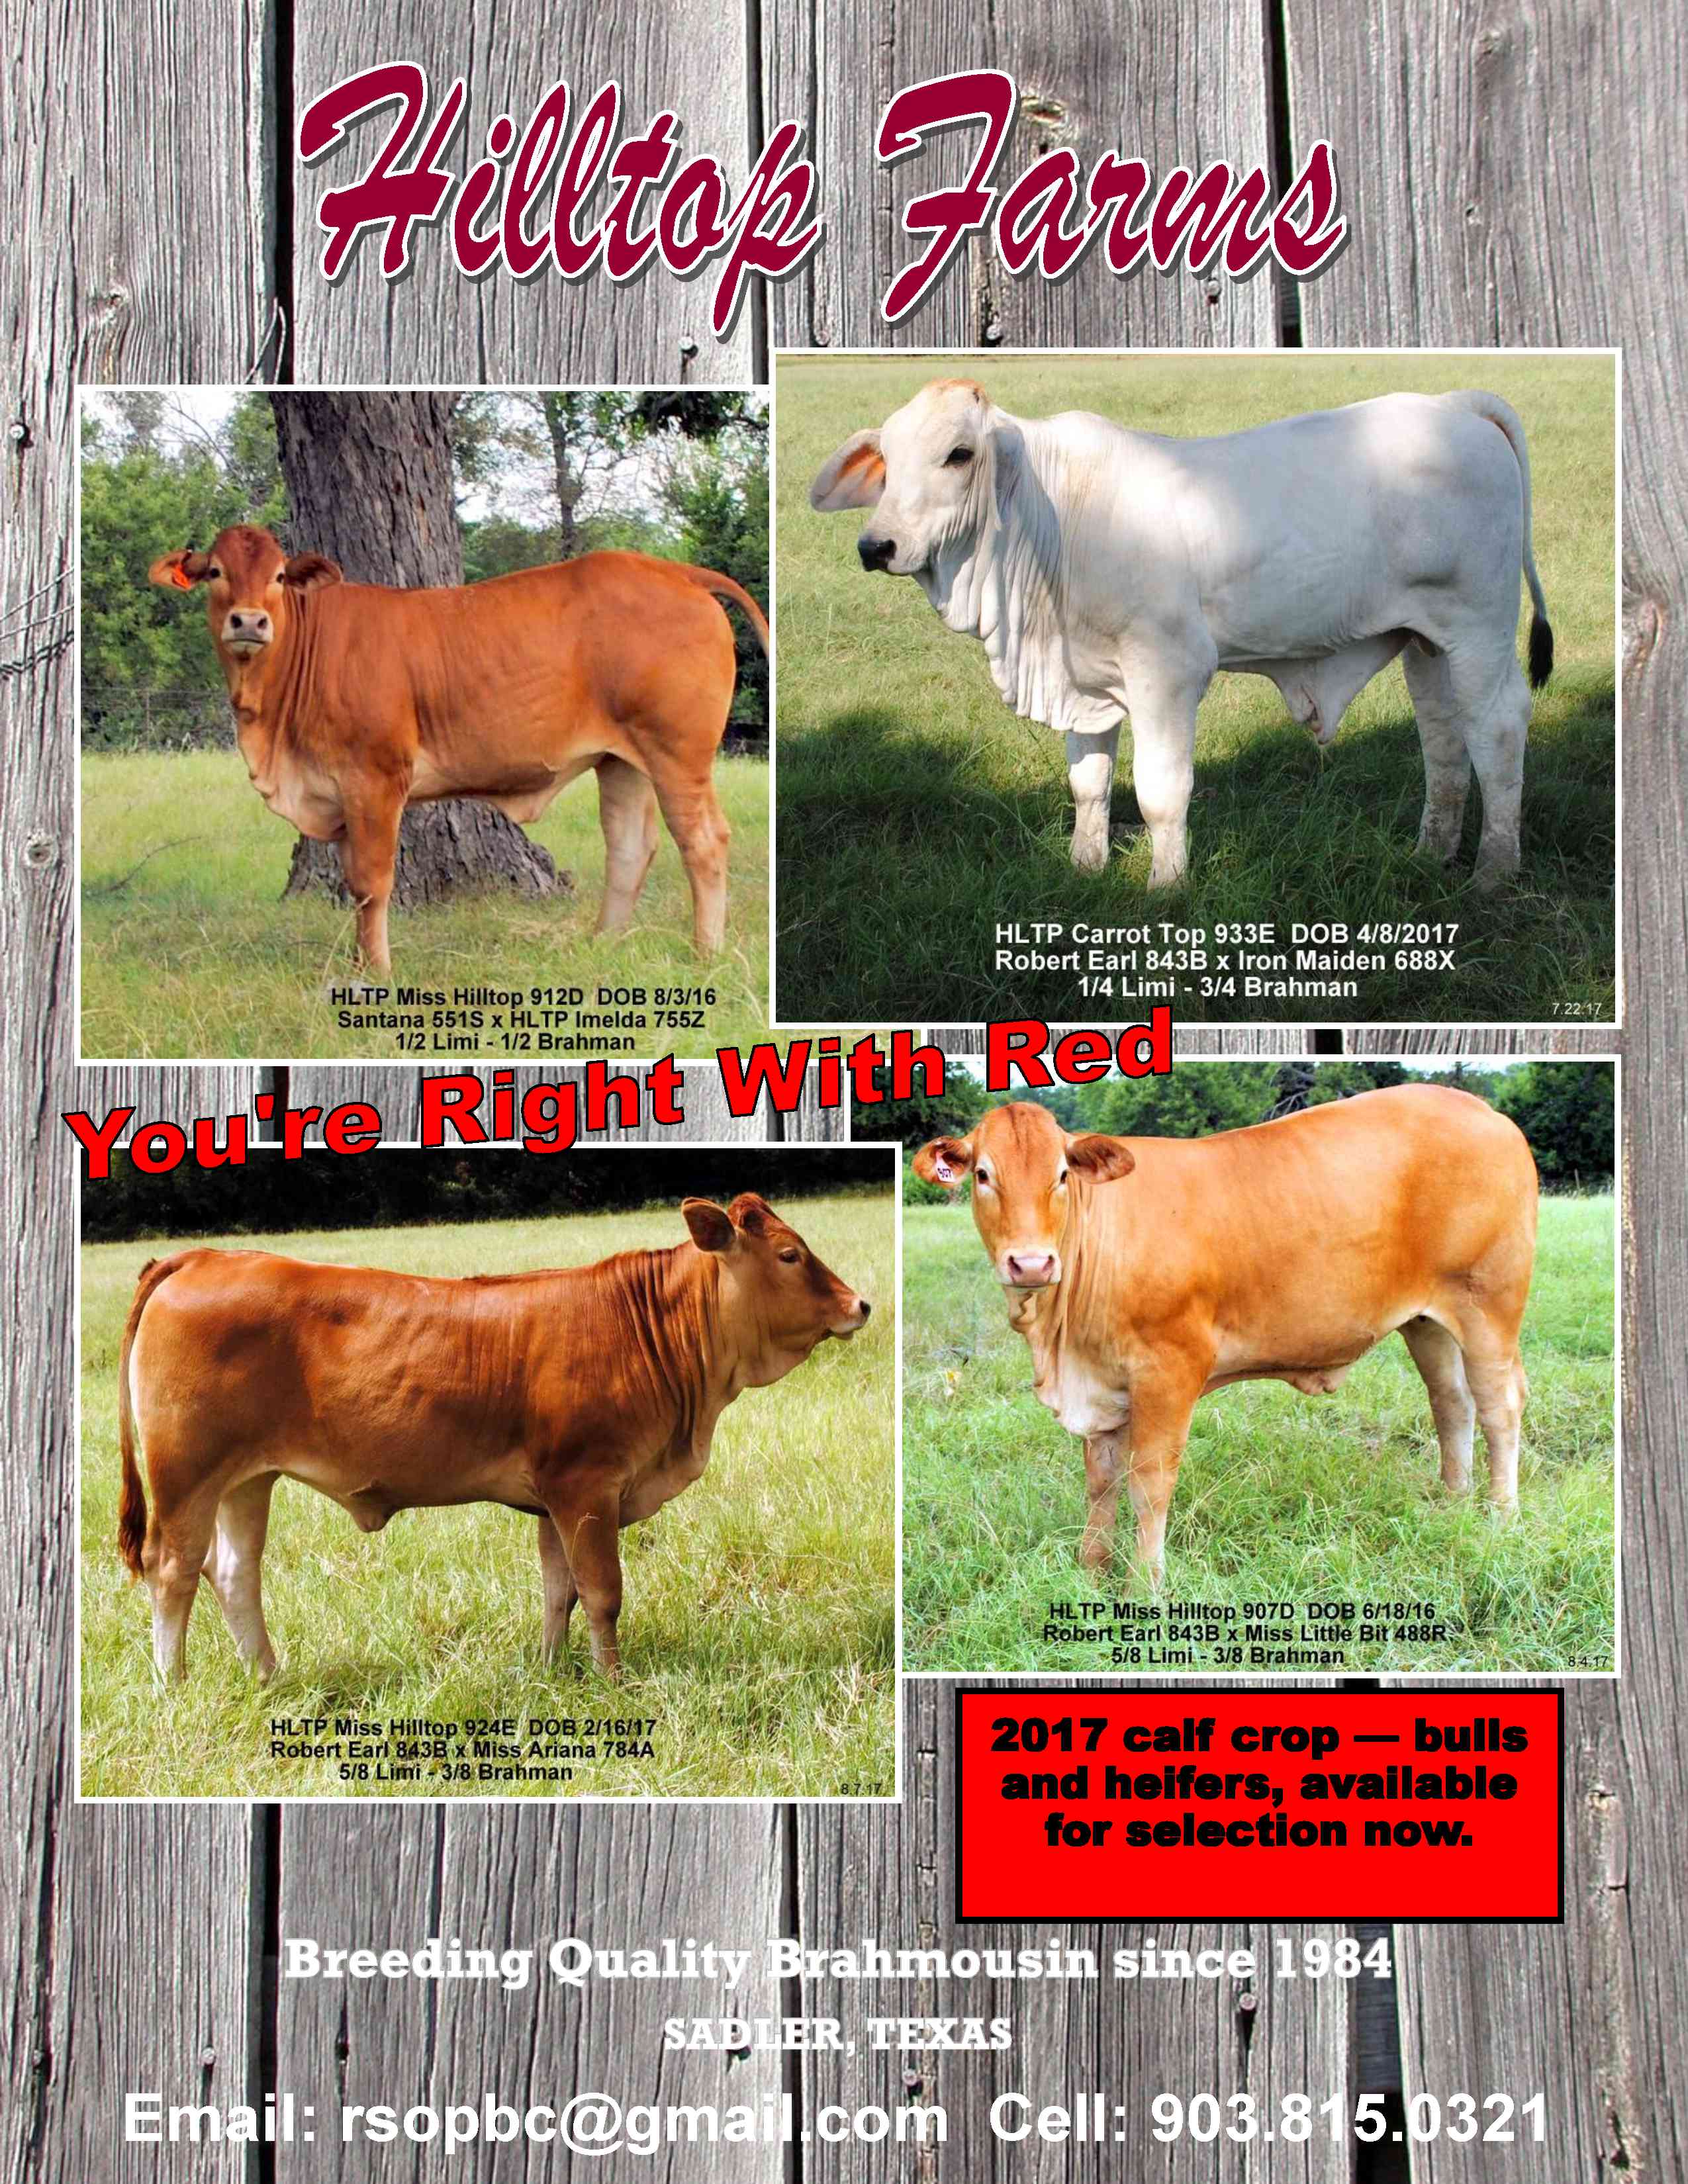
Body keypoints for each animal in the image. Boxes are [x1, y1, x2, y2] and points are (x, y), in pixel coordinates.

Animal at [114, 1195, 870, 1685]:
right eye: (790, 1254)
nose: (860, 1304)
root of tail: (203, 1258)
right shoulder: (587, 1486)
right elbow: (603, 1592)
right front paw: (615, 1683)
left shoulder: (555, 1501)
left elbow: (559, 1591)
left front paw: (550, 1671)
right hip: (186, 1472)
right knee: (173, 1570)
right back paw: (174, 1685)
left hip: (247, 1478)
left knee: (234, 1573)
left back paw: (269, 1678)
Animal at [148, 525, 769, 973]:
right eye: (216, 572)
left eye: (278, 575)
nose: (249, 621)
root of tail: (673, 571)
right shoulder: (341, 796)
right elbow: (353, 886)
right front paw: (357, 962)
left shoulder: (375, 780)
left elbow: (372, 883)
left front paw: (378, 972)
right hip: (623, 761)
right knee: (630, 848)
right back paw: (603, 944)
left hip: (678, 755)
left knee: (703, 842)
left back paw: (706, 953)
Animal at [811, 379, 1552, 890]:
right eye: (888, 460)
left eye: (959, 454)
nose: (877, 546)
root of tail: (1457, 403)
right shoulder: (1085, 683)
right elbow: (1089, 784)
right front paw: (1084, 868)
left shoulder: (1168, 671)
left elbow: (1160, 791)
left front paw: (1165, 888)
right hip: (1428, 643)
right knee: (1443, 740)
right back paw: (1430, 855)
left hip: (1479, 628)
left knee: (1497, 728)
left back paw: (1493, 873)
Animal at [914, 1086, 1536, 1583]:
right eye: (983, 1175)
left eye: (1061, 1176)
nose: (1031, 1263)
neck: (1061, 1344)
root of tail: (1484, 1111)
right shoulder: (1103, 1383)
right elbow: (1101, 1482)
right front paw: (1091, 1571)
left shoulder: (1169, 1370)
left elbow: (1149, 1483)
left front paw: (1145, 1584)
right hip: (1427, 1320)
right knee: (1451, 1401)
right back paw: (1452, 1501)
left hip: (1490, 1305)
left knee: (1499, 1406)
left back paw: (1502, 1516)